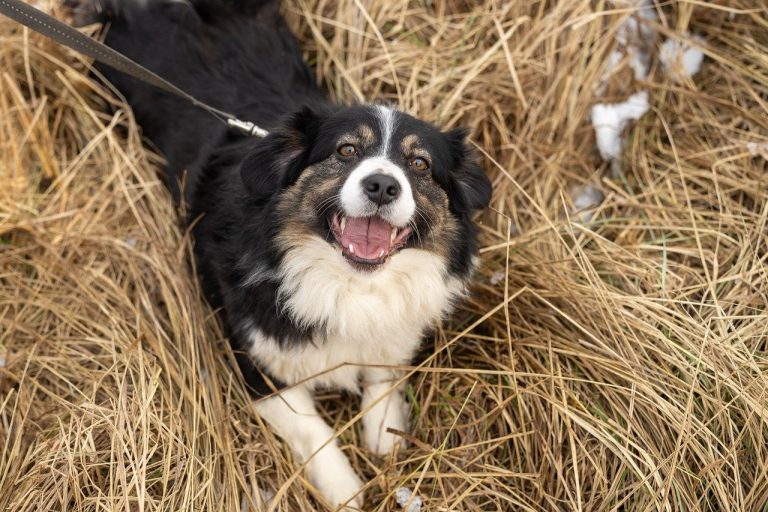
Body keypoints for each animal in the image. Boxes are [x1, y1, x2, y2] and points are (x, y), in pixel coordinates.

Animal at [64, 0, 492, 506]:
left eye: (421, 164)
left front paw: (385, 433)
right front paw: (345, 490)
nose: (383, 185)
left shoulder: (391, 332)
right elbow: (312, 427)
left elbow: (383, 376)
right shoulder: (255, 362)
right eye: (346, 150)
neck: (347, 284)